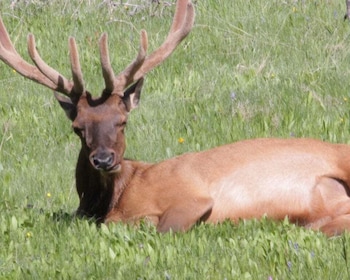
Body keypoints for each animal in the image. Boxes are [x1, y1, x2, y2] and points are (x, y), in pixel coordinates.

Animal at [2, 0, 350, 237]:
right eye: (77, 128)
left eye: (122, 121)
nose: (103, 159)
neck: (115, 197)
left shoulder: (189, 197)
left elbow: (158, 226)